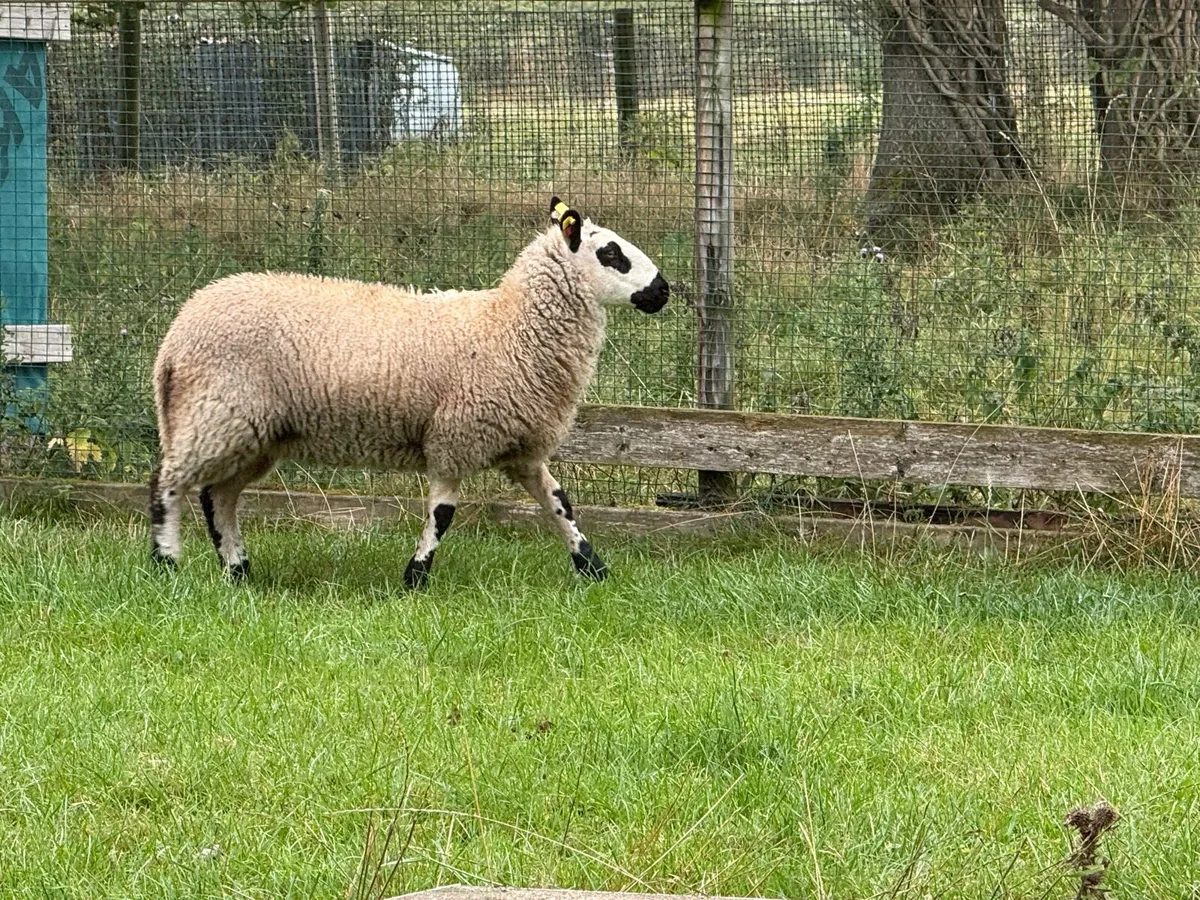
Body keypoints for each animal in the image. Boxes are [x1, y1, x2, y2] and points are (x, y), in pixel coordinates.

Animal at [148, 196, 670, 587]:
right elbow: (442, 514)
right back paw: (165, 562)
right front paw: (416, 576)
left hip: (252, 434)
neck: (510, 326)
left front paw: (593, 568)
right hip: (215, 416)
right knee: (168, 481)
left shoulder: (521, 448)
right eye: (611, 254)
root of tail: (175, 335)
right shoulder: (456, 438)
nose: (663, 291)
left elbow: (560, 502)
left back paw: (238, 570)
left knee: (219, 497)